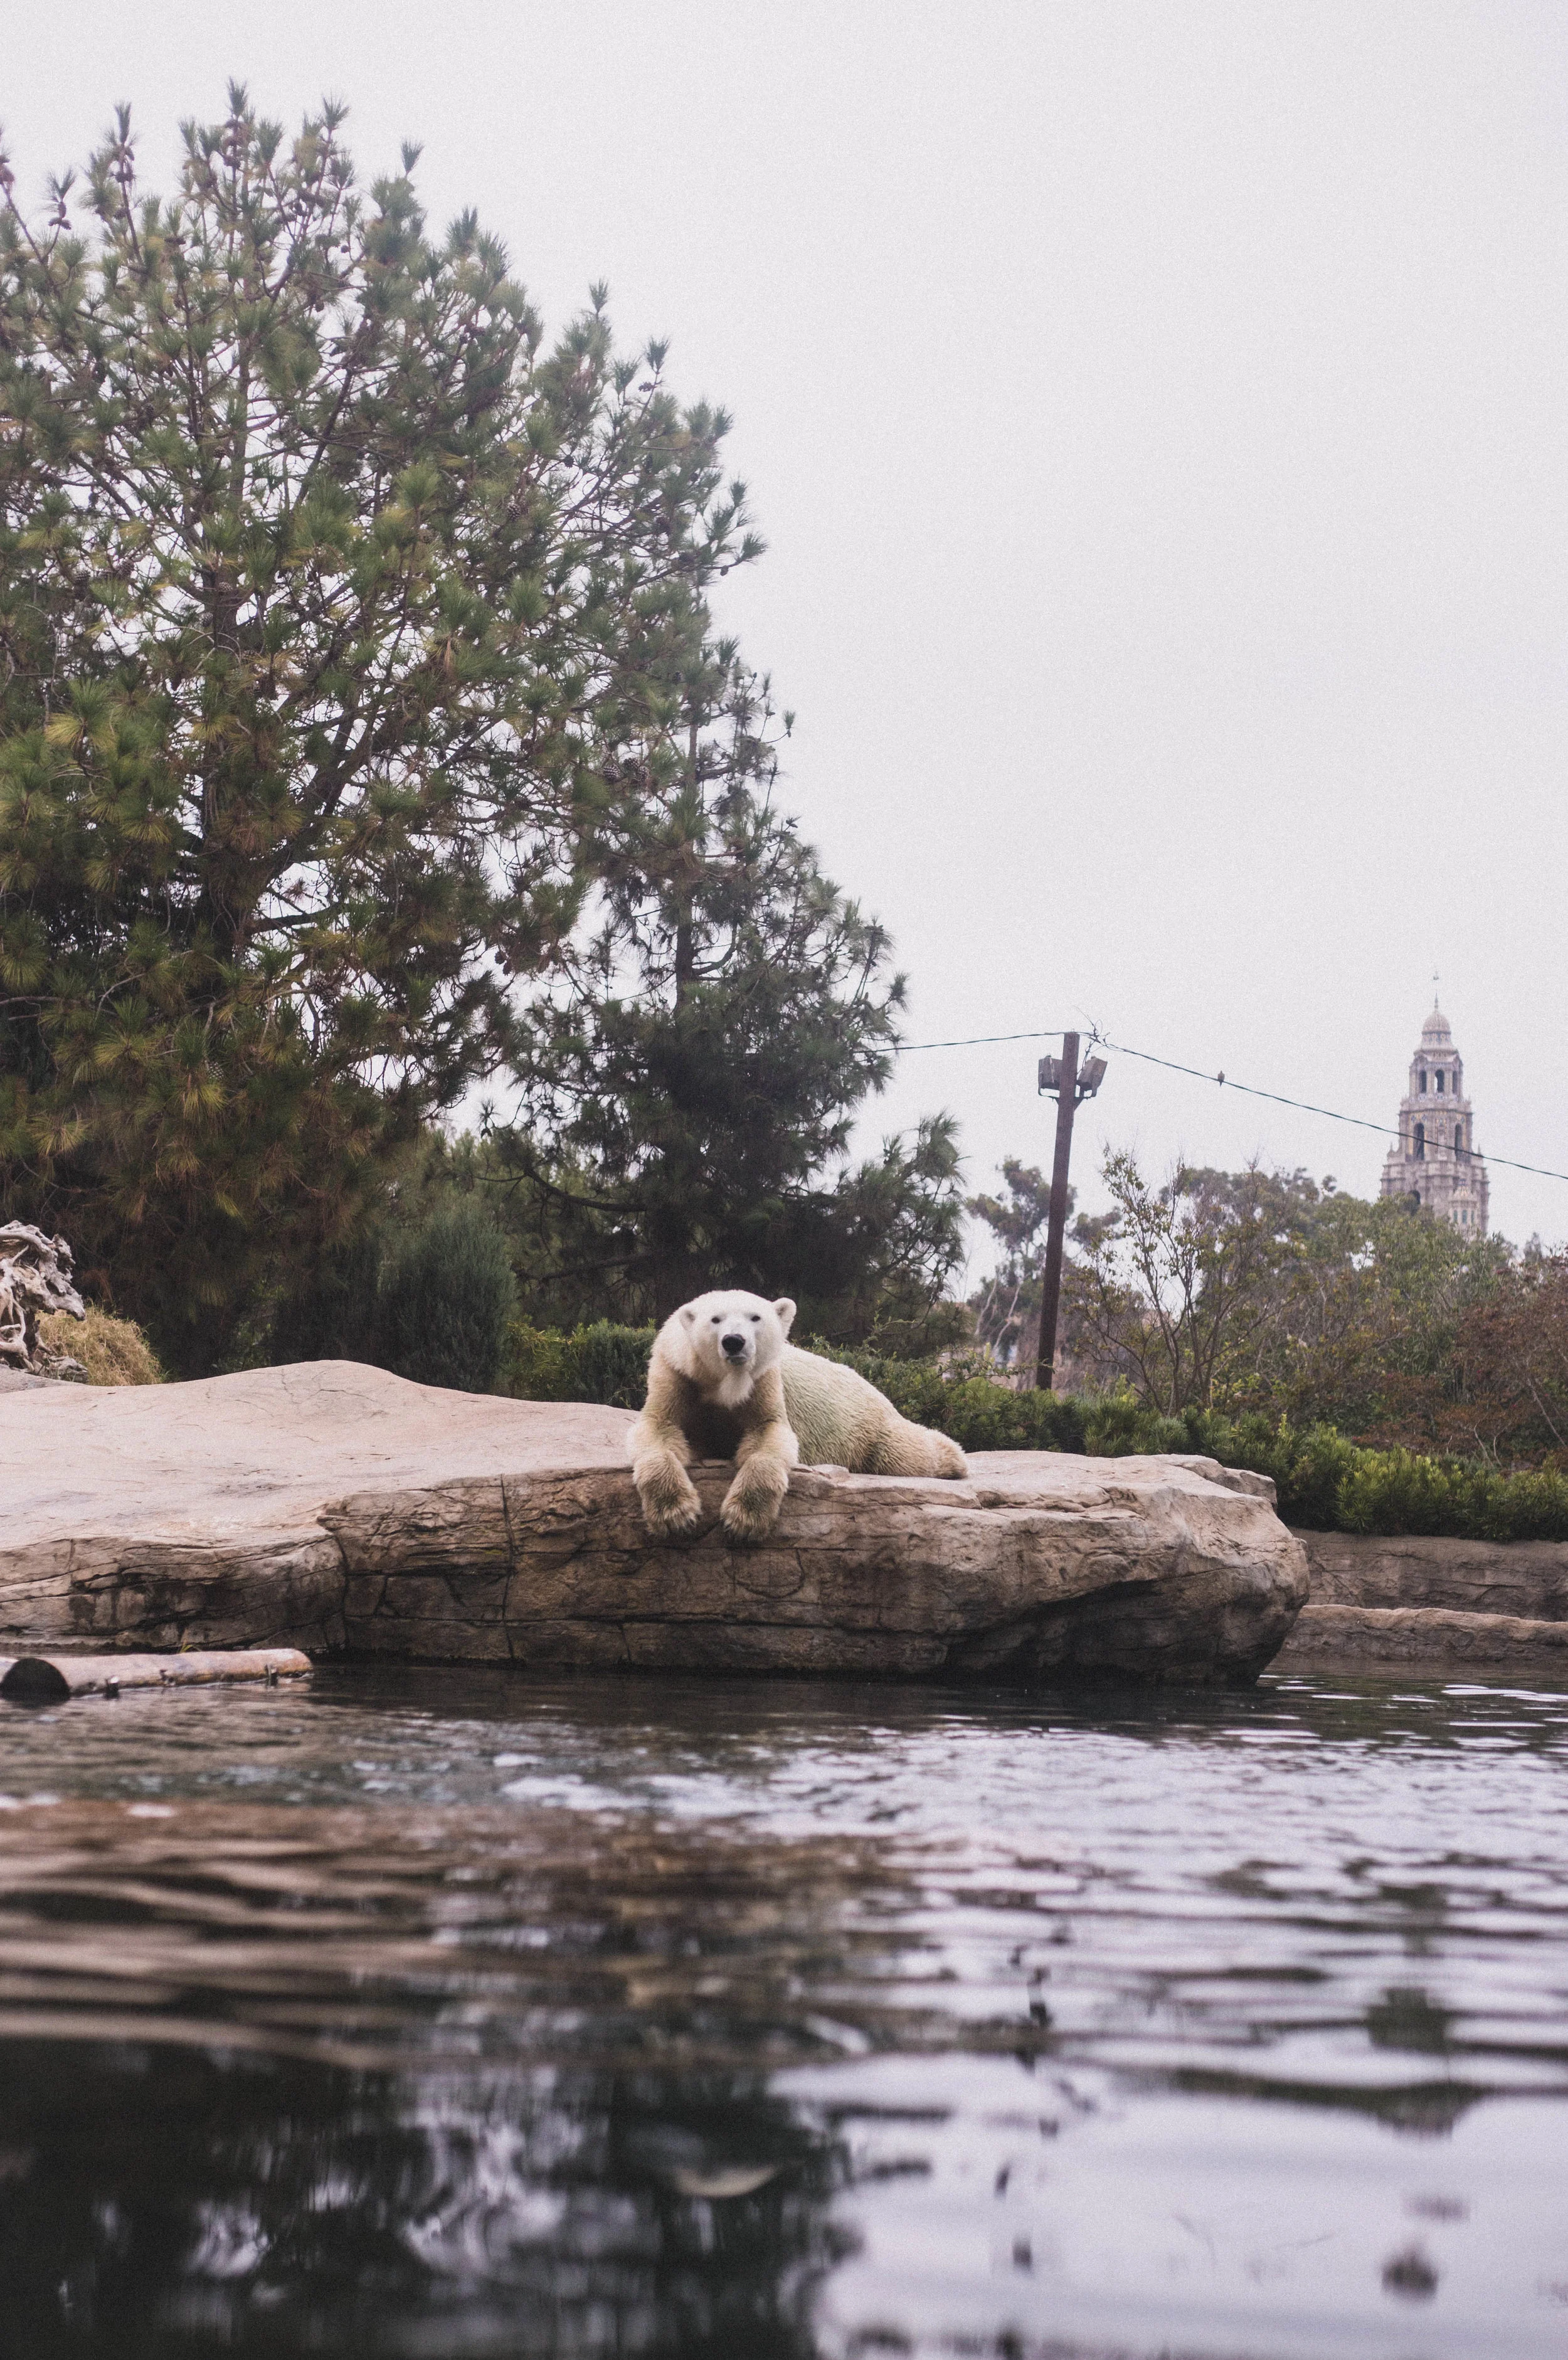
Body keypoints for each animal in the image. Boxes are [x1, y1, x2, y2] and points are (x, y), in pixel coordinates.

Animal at [628, 1287, 968, 1543]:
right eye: (715, 1319)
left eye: (756, 1317)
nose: (734, 1341)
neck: (722, 1383)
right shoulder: (676, 1373)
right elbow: (658, 1428)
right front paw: (676, 1515)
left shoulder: (764, 1382)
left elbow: (770, 1434)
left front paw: (743, 1520)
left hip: (865, 1423)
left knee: (904, 1453)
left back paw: (954, 1460)